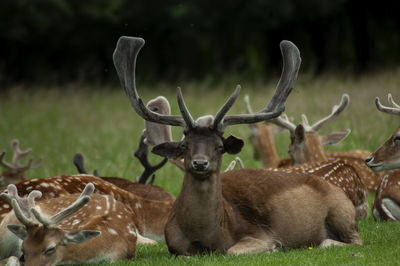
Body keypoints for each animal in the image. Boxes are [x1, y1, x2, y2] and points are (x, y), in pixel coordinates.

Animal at [112, 35, 362, 256]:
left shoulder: (259, 233)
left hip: (341, 213)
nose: (200, 163)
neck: (206, 238)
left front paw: (275, 248)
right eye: (184, 145)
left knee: (350, 241)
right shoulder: (173, 244)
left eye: (219, 146)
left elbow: (232, 250)